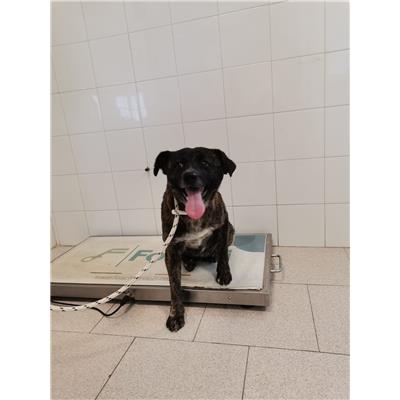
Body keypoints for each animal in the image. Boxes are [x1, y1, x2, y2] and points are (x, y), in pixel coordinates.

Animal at [154, 147, 236, 332]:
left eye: (205, 162)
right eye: (179, 164)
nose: (190, 176)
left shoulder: (223, 226)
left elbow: (223, 253)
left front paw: (223, 273)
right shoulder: (171, 249)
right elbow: (174, 286)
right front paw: (176, 315)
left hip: (231, 230)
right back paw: (189, 261)